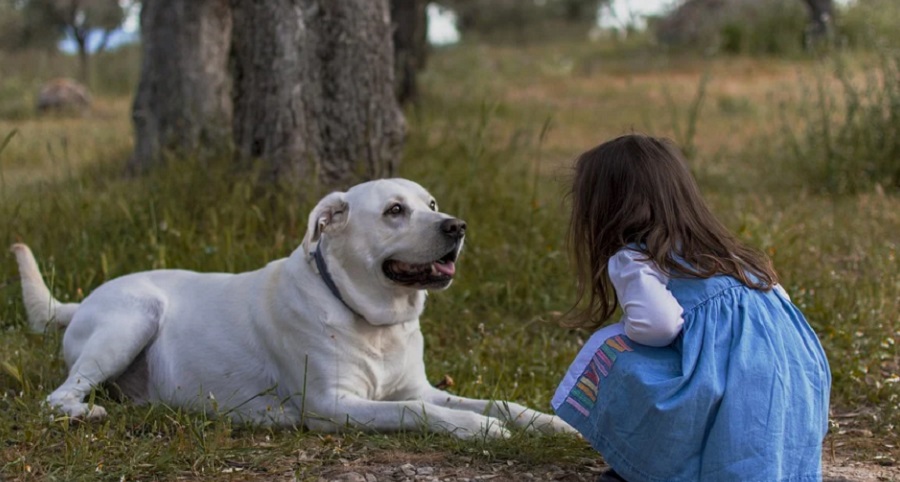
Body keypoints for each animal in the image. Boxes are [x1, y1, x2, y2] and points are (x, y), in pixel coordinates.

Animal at [12, 179, 568, 438]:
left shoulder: (419, 386)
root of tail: (80, 301)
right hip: (134, 317)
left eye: (430, 205)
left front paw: (549, 423)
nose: (457, 226)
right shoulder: (332, 404)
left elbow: (495, 401)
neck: (375, 321)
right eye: (394, 211)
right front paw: (479, 429)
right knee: (58, 397)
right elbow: (418, 411)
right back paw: (84, 413)